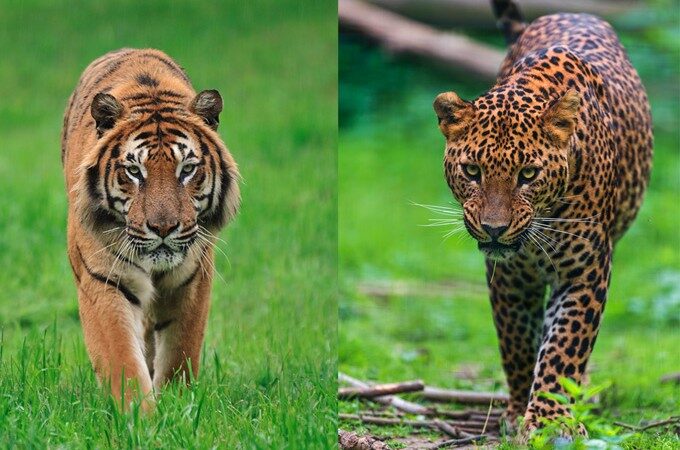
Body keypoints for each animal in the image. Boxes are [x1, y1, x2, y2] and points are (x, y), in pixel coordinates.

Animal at [62, 48, 240, 409]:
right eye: (134, 171)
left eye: (187, 169)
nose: (163, 227)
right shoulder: (103, 279)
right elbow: (122, 360)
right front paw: (139, 415)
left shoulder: (192, 279)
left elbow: (180, 353)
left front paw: (177, 407)